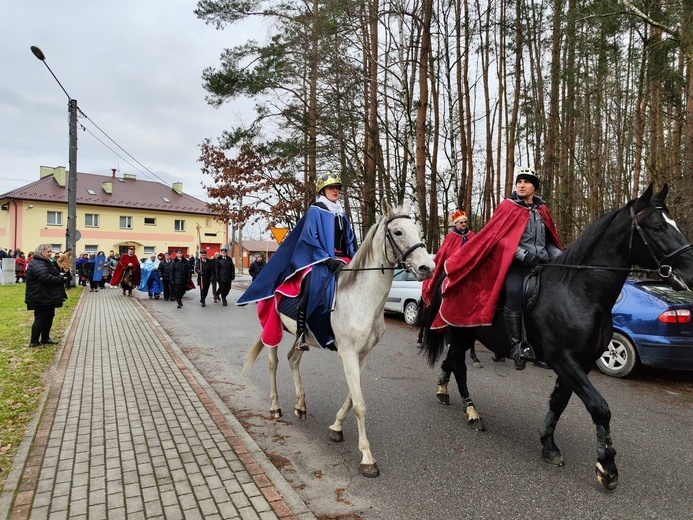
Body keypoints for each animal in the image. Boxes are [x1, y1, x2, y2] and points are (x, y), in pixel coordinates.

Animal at [241, 201, 430, 478]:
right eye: (398, 232)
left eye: (416, 230)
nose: (427, 267)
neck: (361, 297)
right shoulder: (348, 354)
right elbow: (360, 404)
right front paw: (367, 458)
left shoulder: (363, 354)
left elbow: (352, 396)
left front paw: (336, 427)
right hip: (272, 329)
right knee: (273, 363)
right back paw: (275, 407)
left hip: (302, 337)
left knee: (292, 359)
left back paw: (301, 405)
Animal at [416, 185, 692, 490]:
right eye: (657, 227)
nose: (690, 271)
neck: (579, 292)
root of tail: (447, 275)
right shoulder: (562, 359)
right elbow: (599, 407)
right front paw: (607, 467)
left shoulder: (581, 363)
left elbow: (559, 402)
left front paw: (548, 444)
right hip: (460, 333)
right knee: (460, 368)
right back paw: (472, 413)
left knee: (451, 363)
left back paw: (443, 391)